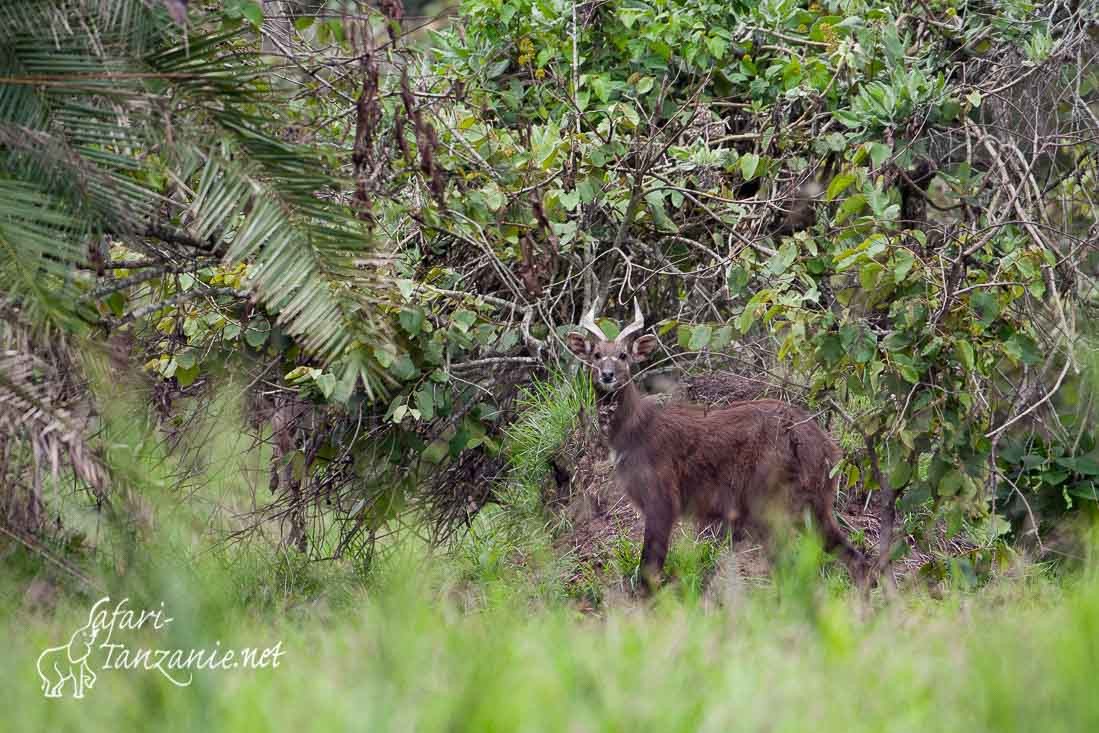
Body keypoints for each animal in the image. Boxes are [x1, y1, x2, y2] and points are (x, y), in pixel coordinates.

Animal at [567, 298, 866, 589]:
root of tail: (824, 447)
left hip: (770, 502)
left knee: (794, 569)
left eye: (623, 355)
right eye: (596, 355)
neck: (635, 433)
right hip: (813, 505)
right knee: (853, 560)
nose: (607, 375)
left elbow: (648, 574)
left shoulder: (662, 499)